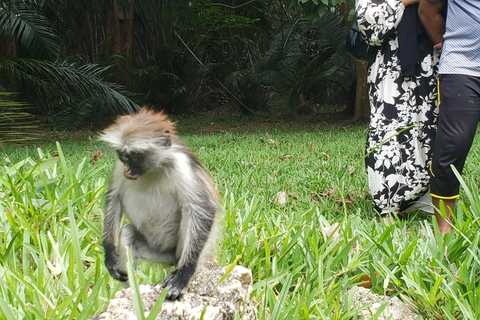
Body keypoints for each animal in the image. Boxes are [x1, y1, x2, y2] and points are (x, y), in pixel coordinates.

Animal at [101, 108, 223, 300]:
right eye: (123, 156)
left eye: (136, 156)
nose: (128, 169)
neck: (154, 168)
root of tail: (172, 258)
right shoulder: (119, 167)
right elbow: (114, 200)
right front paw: (109, 254)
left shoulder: (182, 165)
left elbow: (203, 210)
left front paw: (184, 274)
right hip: (159, 253)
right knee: (127, 234)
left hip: (180, 251)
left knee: (190, 214)